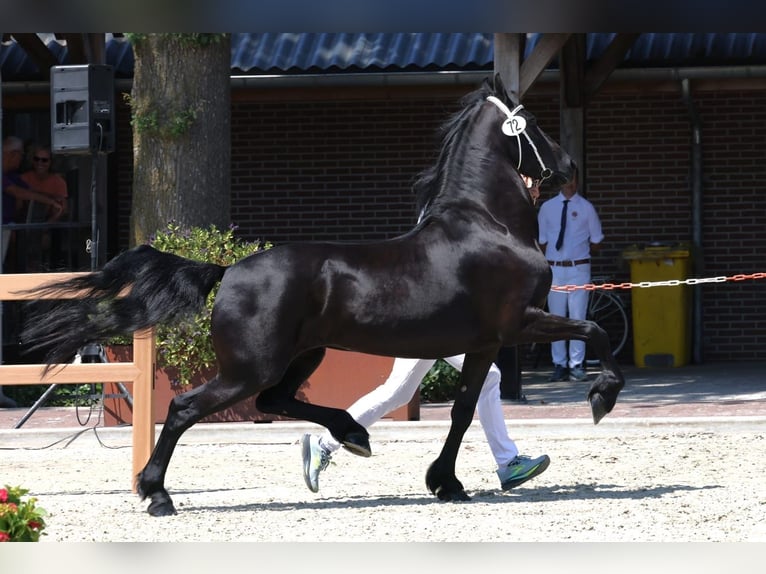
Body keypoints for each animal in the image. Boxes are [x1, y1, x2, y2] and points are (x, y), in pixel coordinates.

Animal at [21, 74, 625, 515]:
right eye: (535, 124)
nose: (568, 167)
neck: (486, 224)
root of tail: (227, 270)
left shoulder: (483, 343)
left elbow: (461, 409)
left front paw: (447, 482)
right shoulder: (520, 321)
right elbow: (596, 331)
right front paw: (602, 397)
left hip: (301, 354)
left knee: (275, 401)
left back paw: (351, 433)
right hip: (253, 366)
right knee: (186, 406)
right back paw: (157, 494)